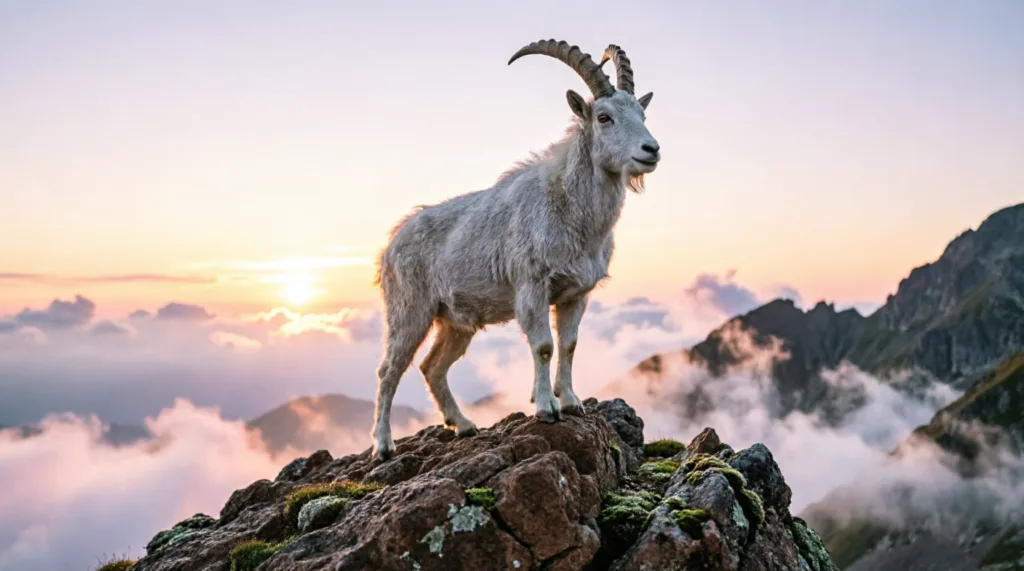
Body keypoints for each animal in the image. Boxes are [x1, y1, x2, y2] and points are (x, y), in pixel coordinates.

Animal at [370, 39, 661, 460]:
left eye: (642, 113)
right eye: (604, 117)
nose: (650, 150)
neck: (570, 209)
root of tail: (390, 246)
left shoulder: (575, 294)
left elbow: (569, 344)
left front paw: (571, 401)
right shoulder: (532, 286)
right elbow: (543, 345)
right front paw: (547, 408)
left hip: (454, 322)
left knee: (432, 367)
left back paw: (464, 425)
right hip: (409, 311)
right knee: (389, 370)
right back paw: (383, 444)